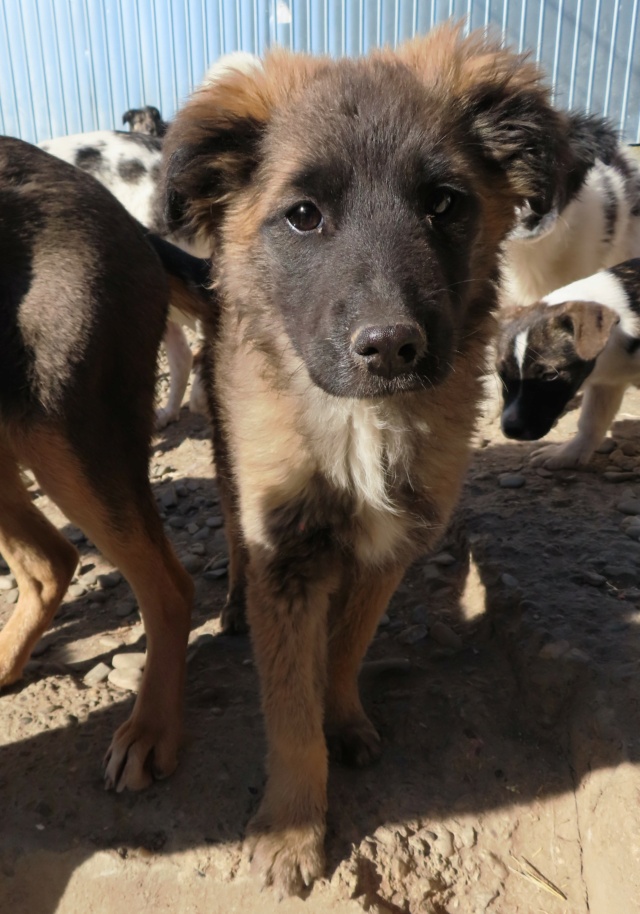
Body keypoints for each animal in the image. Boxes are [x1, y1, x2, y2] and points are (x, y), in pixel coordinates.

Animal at [498, 258, 640, 466]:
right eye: (502, 374)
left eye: (550, 375)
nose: (511, 429)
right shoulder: (607, 383)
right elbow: (591, 422)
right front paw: (568, 454)